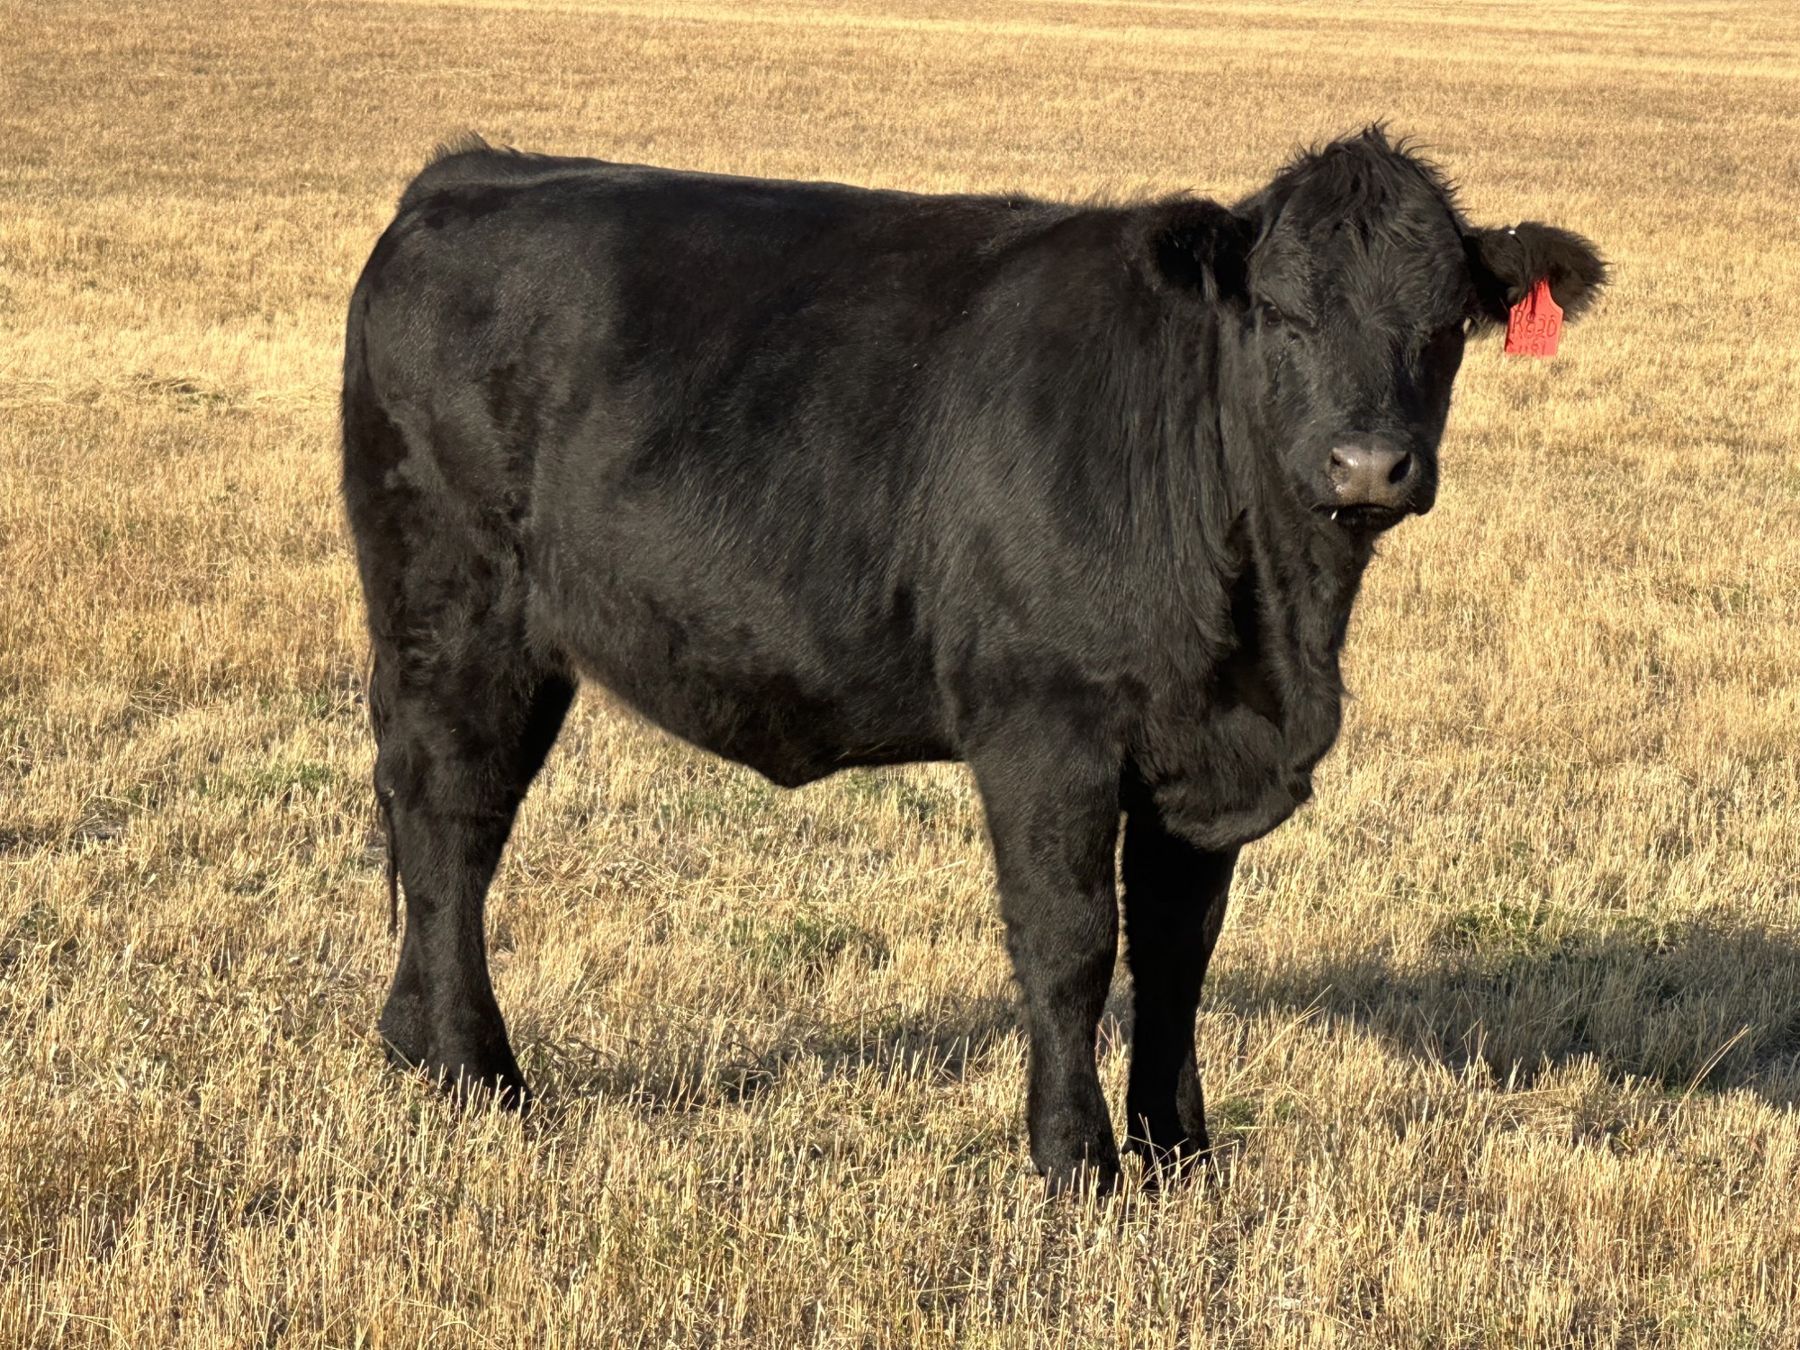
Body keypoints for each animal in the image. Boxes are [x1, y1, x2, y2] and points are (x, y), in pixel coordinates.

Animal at [341, 126, 1605, 1192]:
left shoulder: (1195, 754)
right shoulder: (1045, 727)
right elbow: (1072, 944)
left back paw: (417, 1046)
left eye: (1443, 325)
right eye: (1282, 313)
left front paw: (1180, 1153)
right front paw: (1076, 1162)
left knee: (445, 828)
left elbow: (1178, 953)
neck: (1272, 627)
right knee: (449, 821)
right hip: (453, 608)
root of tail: (472, 171)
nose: (1368, 464)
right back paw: (480, 1076)